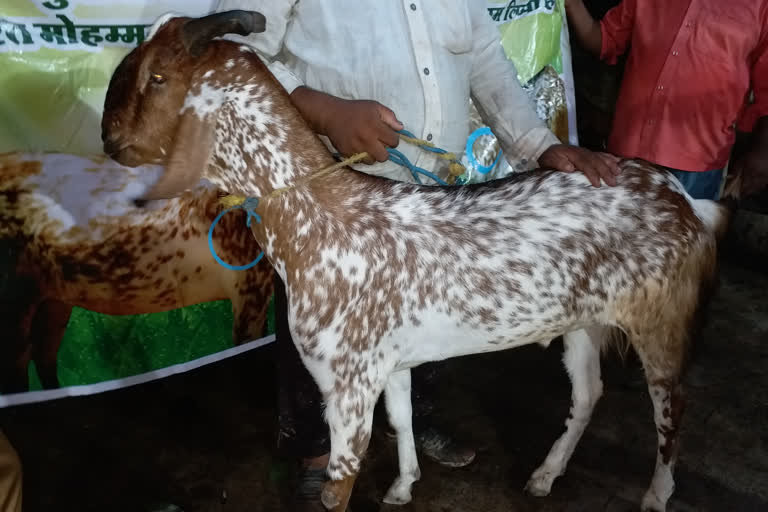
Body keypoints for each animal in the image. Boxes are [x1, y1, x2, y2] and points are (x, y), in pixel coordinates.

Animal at [99, 12, 728, 512]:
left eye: (158, 78)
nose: (109, 140)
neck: (319, 224)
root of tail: (683, 199)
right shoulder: (387, 362)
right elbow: (401, 418)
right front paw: (404, 485)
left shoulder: (346, 385)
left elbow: (338, 485)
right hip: (583, 320)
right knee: (589, 392)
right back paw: (545, 475)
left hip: (663, 323)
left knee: (672, 408)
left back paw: (655, 496)